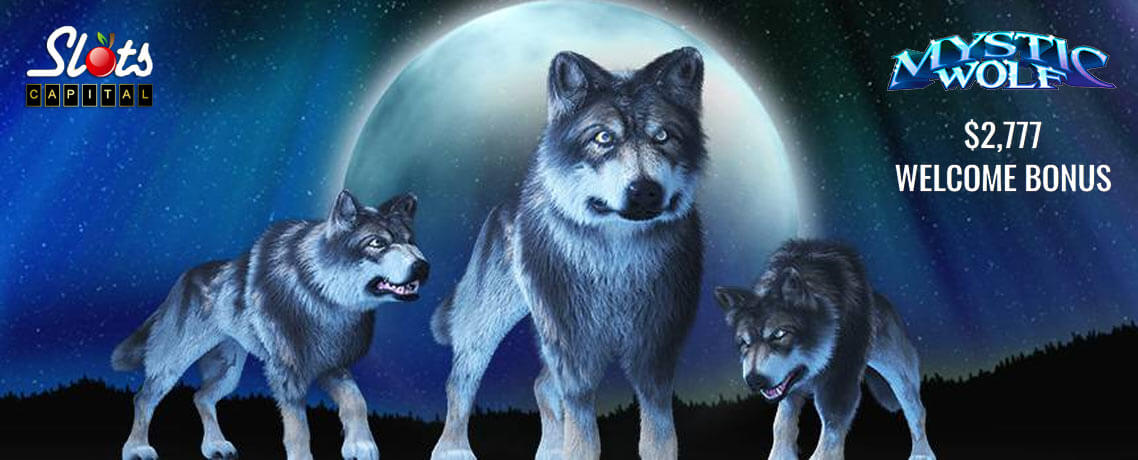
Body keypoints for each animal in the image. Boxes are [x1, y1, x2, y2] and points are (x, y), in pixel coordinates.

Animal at [111, 190, 429, 460]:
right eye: (377, 243)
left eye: (411, 241)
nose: (424, 267)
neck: (321, 296)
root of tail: (182, 280)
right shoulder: (287, 374)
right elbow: (299, 430)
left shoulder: (331, 366)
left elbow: (356, 402)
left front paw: (361, 446)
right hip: (172, 365)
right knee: (143, 398)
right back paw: (136, 449)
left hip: (229, 373)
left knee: (201, 397)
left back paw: (215, 446)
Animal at [429, 47, 707, 460]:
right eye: (604, 137)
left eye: (663, 136)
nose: (644, 191)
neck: (617, 264)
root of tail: (506, 203)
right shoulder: (576, 359)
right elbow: (583, 441)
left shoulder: (654, 358)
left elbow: (659, 437)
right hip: (489, 325)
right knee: (459, 382)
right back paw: (452, 450)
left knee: (541, 386)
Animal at [714, 239, 936, 460]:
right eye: (745, 343)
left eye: (779, 334)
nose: (753, 380)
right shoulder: (789, 391)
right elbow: (781, 426)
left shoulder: (839, 383)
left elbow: (829, 438)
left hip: (898, 375)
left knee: (917, 410)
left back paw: (922, 454)